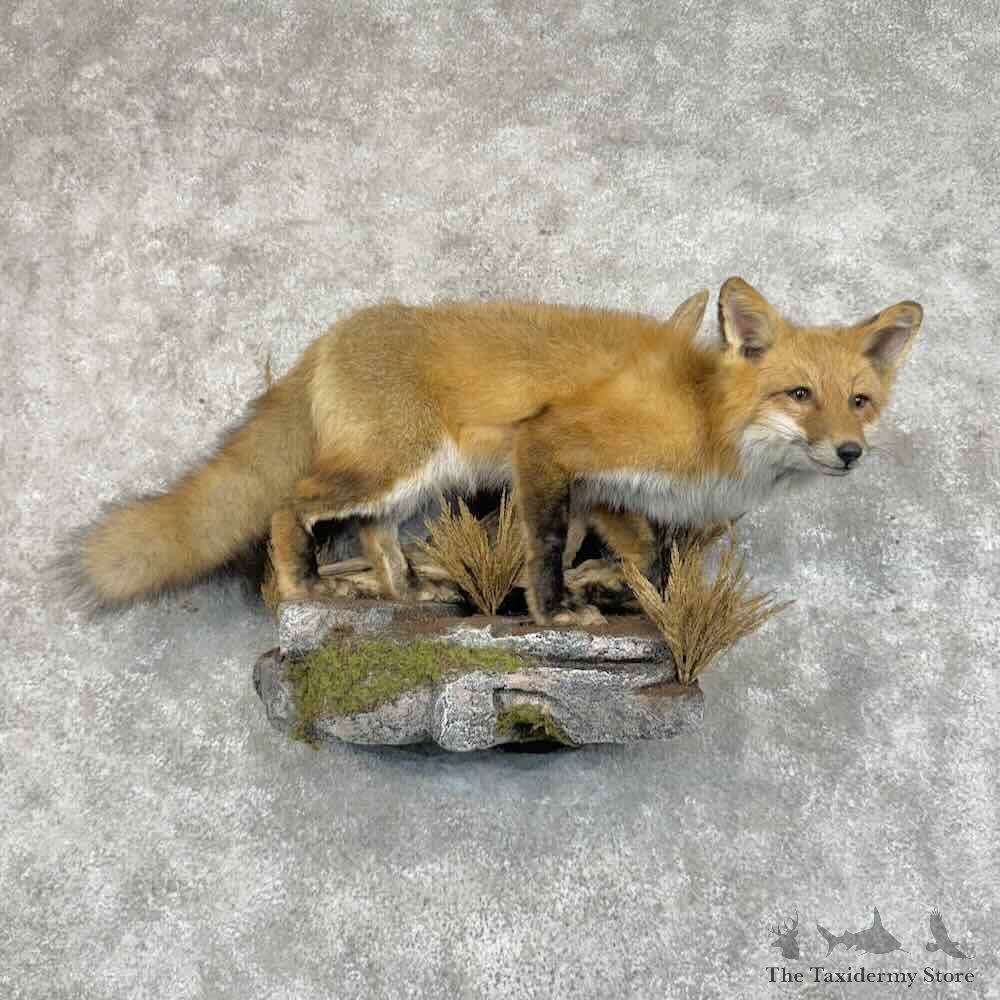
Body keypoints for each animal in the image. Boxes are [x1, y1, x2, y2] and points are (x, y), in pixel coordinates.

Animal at [67, 277, 922, 625]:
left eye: (859, 401)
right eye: (799, 395)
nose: (850, 451)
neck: (708, 416)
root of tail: (337, 332)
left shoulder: (605, 492)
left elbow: (643, 555)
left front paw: (642, 601)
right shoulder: (548, 443)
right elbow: (543, 548)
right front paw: (556, 612)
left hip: (407, 482)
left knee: (374, 532)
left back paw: (405, 592)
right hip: (388, 466)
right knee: (290, 504)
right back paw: (306, 587)